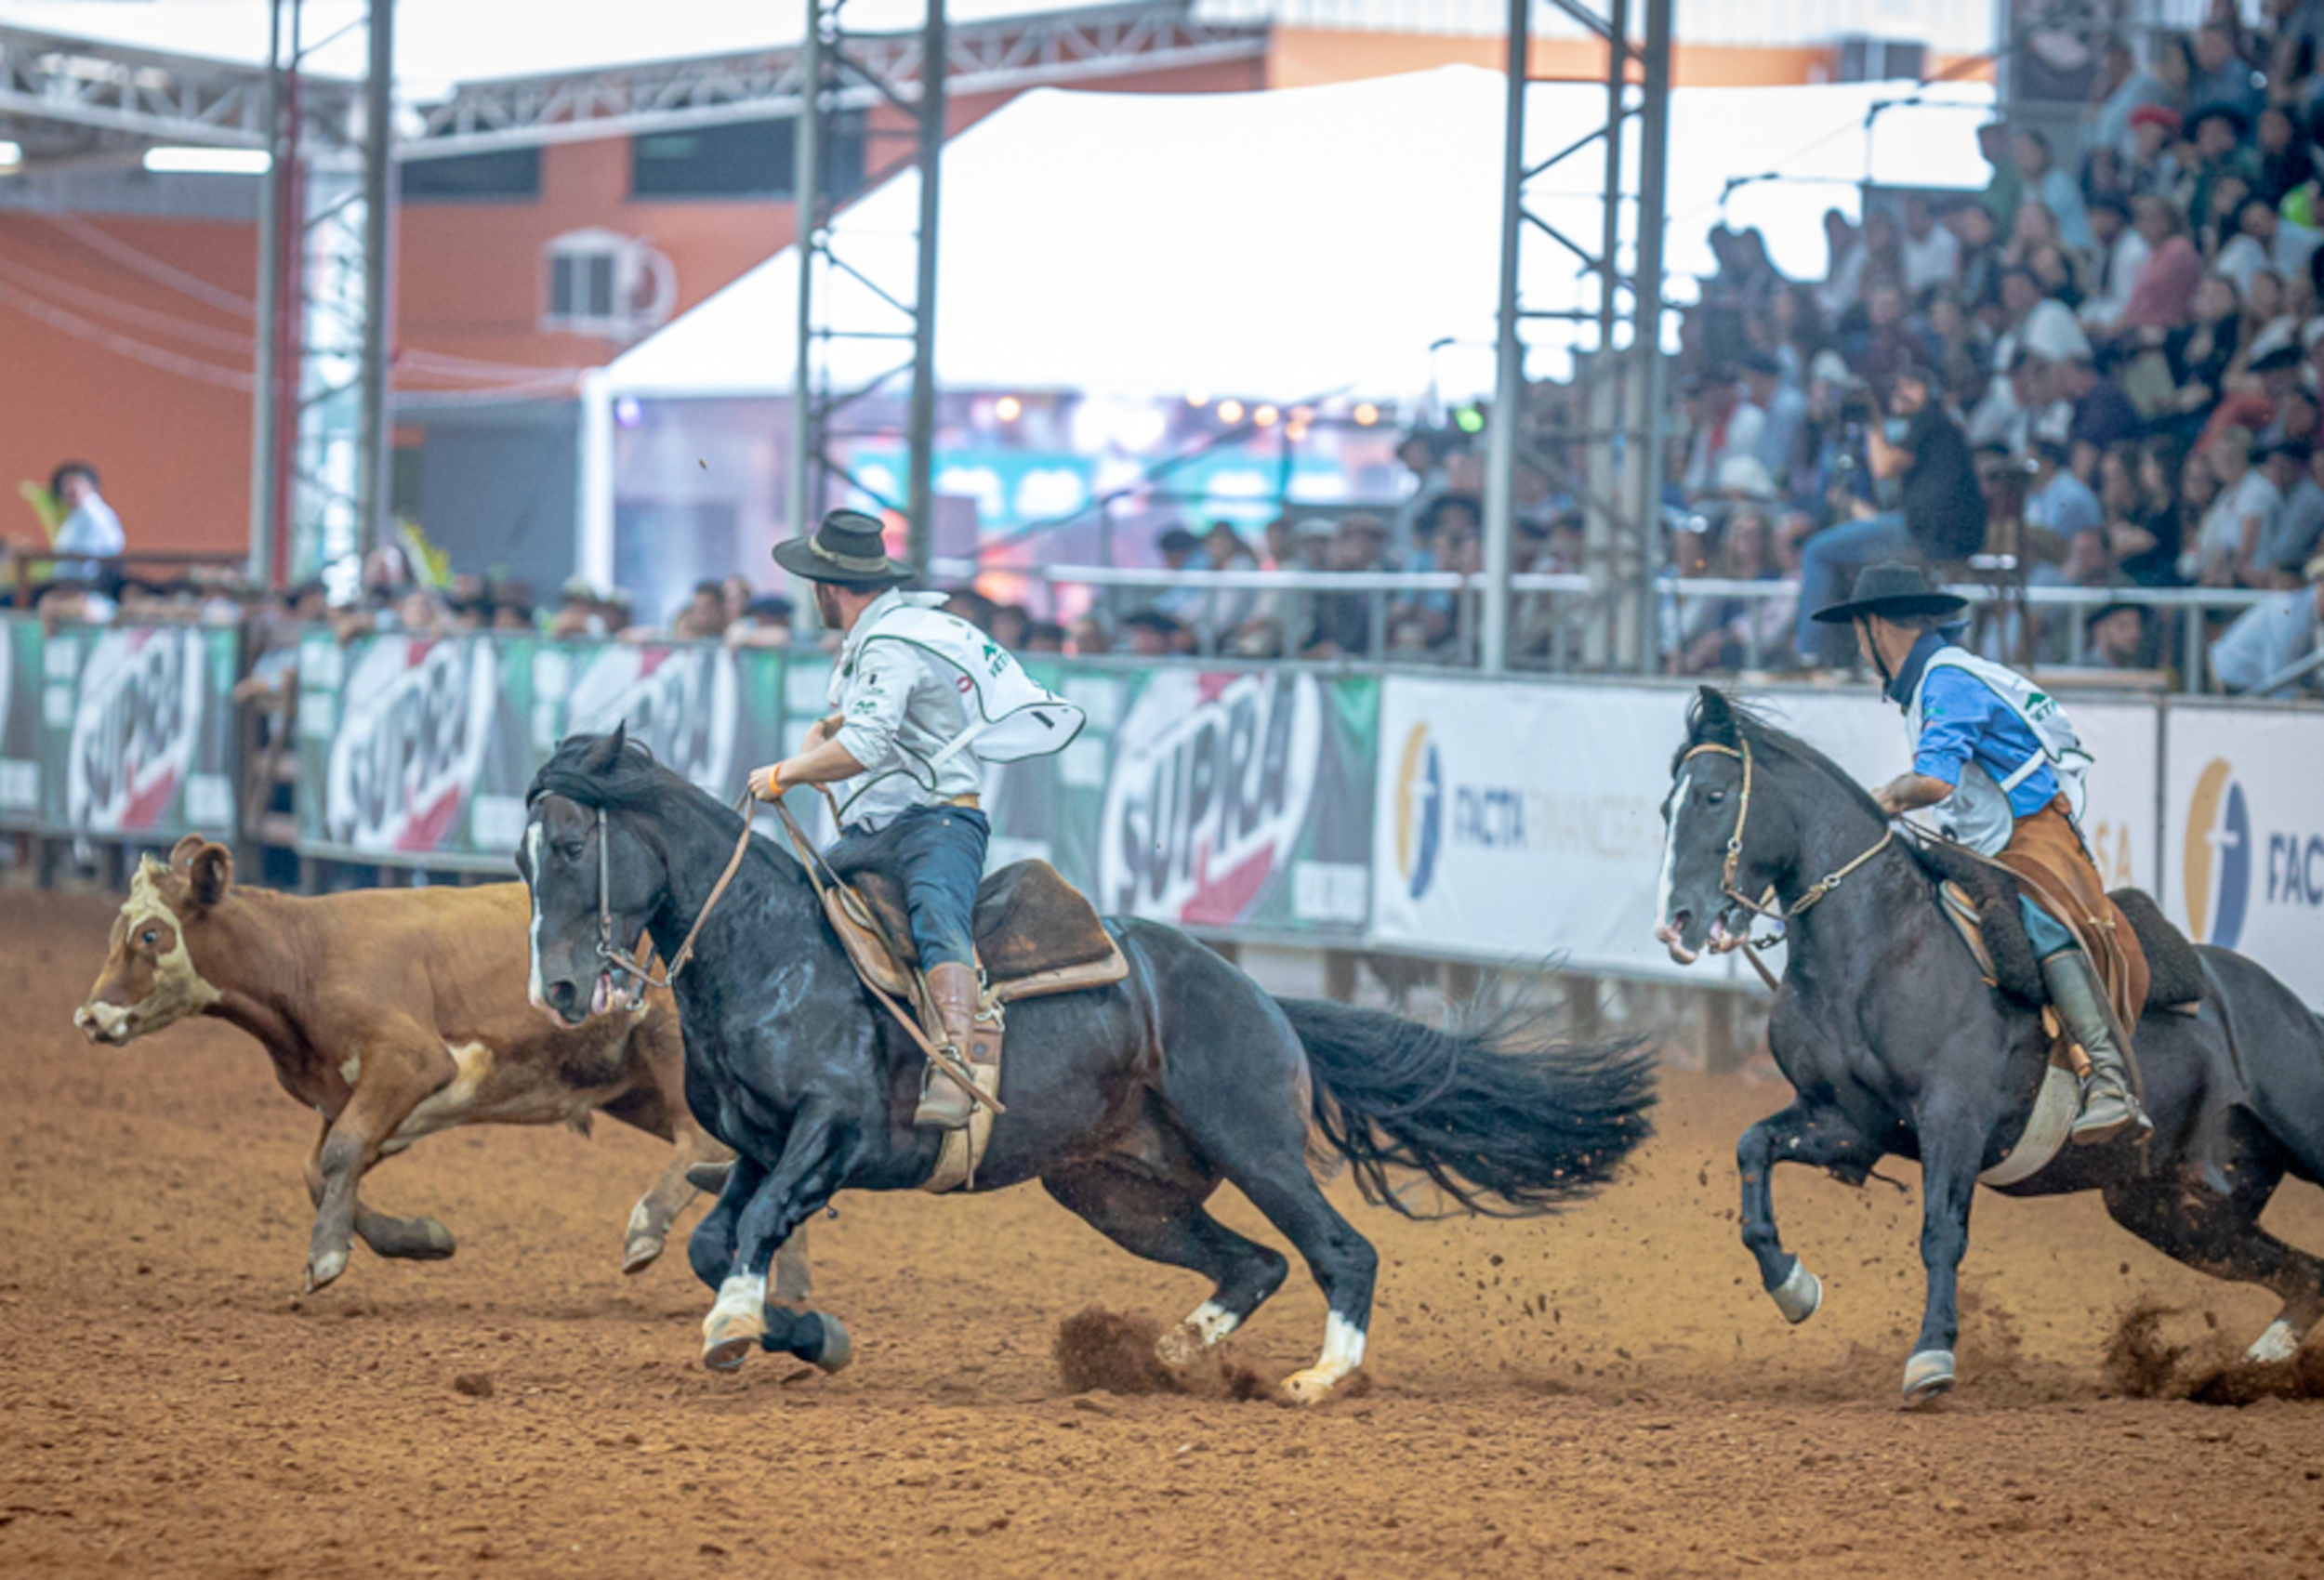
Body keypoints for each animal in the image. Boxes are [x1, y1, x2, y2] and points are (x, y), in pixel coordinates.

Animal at [74, 832, 799, 1292]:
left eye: (151, 934)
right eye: (115, 933)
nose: (90, 1017)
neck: (304, 955)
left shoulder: (410, 1060)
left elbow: (338, 1155)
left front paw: (326, 1257)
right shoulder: (353, 1093)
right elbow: (321, 1166)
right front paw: (421, 1238)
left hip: (674, 1055)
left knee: (704, 1143)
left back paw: (649, 1229)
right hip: (634, 1086)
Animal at [521, 730, 1664, 1403]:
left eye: (573, 846)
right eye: (527, 860)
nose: (563, 991)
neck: (774, 950)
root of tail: (1259, 996)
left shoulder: (828, 1135)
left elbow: (747, 1234)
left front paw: (736, 1326)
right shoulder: (762, 1145)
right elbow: (719, 1238)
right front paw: (806, 1331)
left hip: (1254, 1143)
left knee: (1342, 1249)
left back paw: (1319, 1377)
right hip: (1114, 1188)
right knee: (1255, 1261)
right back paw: (1170, 1355)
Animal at [1655, 683, 2324, 1403]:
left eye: (1714, 796)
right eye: (1667, 806)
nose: (1676, 922)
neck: (1880, 949)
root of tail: (2289, 1005)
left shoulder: (1953, 1118)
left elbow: (1941, 1233)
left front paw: (1932, 1356)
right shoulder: (1848, 1122)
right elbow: (1753, 1149)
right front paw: (1794, 1286)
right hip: (2178, 1209)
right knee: (2305, 1275)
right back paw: (2254, 1368)